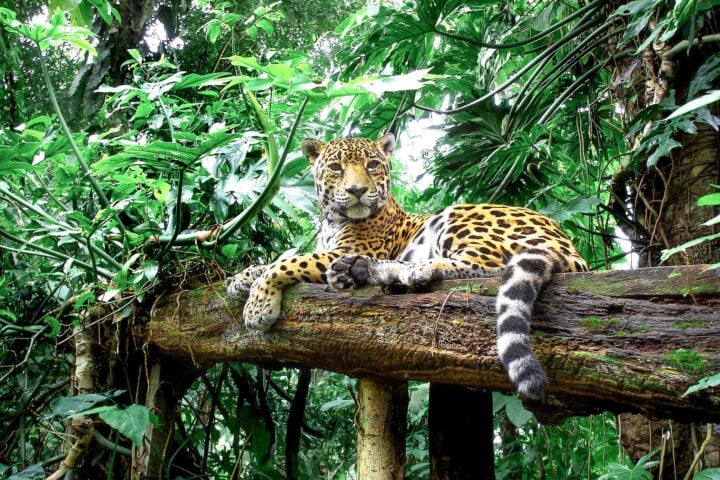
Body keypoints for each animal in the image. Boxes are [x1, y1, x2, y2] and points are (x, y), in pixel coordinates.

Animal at [225, 134, 588, 400]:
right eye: (337, 168)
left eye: (372, 165)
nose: (357, 190)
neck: (332, 221)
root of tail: (569, 245)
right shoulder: (331, 248)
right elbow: (275, 259)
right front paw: (239, 280)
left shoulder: (341, 249)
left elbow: (288, 262)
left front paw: (258, 307)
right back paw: (361, 271)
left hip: (458, 216)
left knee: (487, 264)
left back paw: (402, 270)